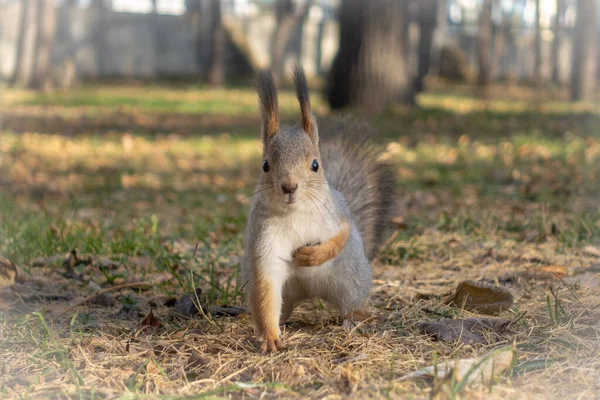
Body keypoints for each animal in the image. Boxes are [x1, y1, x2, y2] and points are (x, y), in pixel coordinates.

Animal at [241, 66, 396, 354]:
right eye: (265, 165)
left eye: (315, 165)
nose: (289, 186)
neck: (295, 214)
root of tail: (308, 294)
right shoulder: (263, 239)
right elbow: (266, 286)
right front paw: (269, 337)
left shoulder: (338, 215)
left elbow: (340, 237)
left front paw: (310, 256)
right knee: (274, 305)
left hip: (351, 280)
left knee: (350, 303)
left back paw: (361, 314)